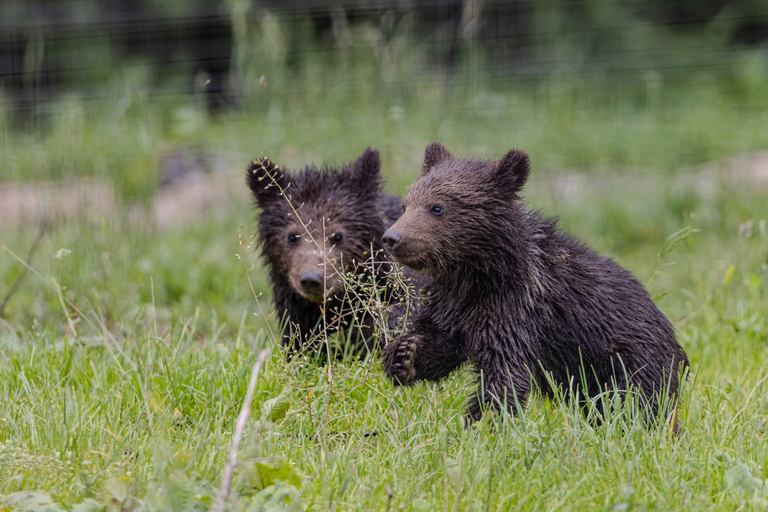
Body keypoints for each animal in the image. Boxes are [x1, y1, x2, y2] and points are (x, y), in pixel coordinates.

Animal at [380, 142, 689, 424]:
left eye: (437, 207)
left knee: (638, 404)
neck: (475, 275)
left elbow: (504, 376)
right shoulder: (452, 307)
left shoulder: (516, 312)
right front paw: (405, 355)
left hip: (630, 361)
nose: (392, 237)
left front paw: (480, 424)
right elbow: (441, 343)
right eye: (406, 204)